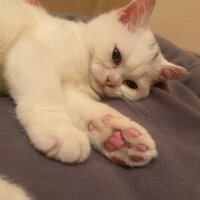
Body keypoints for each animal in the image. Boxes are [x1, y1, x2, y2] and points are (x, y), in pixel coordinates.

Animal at [0, 0, 186, 198]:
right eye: (116, 55)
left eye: (131, 84)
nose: (111, 81)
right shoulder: (33, 50)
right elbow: (47, 94)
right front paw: (60, 130)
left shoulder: (70, 91)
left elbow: (88, 109)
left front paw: (119, 135)